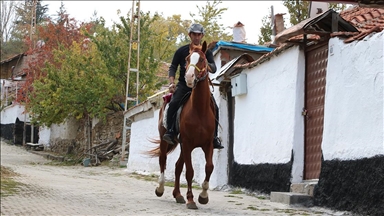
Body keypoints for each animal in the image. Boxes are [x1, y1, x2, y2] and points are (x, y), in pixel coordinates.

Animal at [147, 41, 214, 209]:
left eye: (202, 59)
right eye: (187, 59)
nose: (189, 77)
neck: (199, 110)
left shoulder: (208, 144)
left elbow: (209, 167)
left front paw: (203, 196)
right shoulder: (188, 144)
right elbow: (189, 171)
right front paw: (191, 199)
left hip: (183, 146)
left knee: (177, 167)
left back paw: (177, 195)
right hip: (166, 140)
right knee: (163, 160)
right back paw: (160, 188)